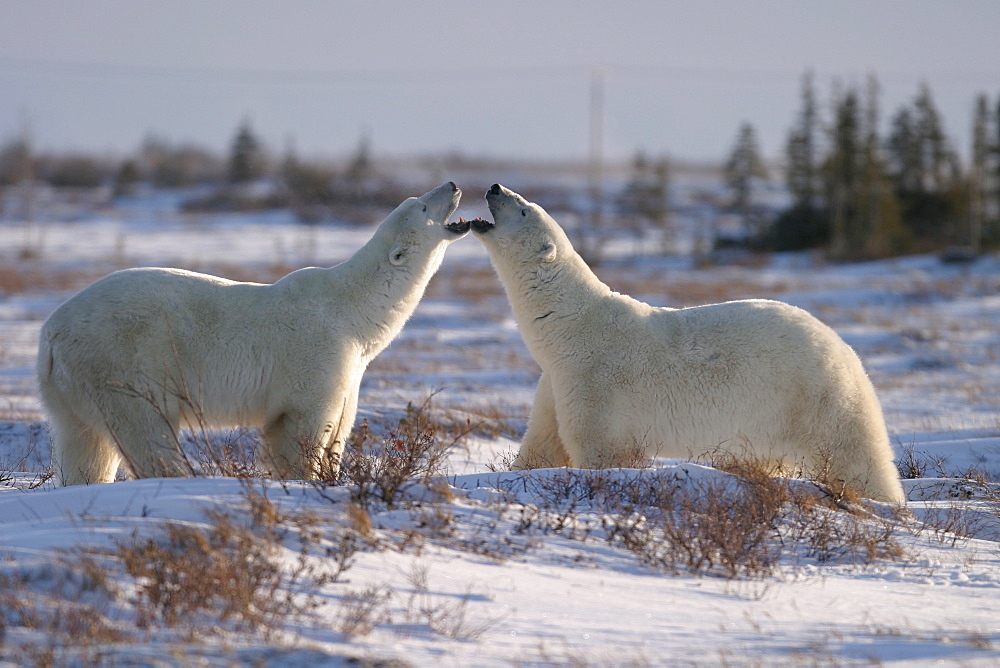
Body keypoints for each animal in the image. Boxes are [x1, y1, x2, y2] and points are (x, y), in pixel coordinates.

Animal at [35, 183, 464, 486]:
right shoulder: (317, 354)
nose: (453, 184)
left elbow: (338, 429)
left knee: (83, 443)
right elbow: (301, 428)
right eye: (422, 206)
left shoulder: (351, 368)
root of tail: (51, 333)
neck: (353, 310)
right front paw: (305, 478)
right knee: (146, 432)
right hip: (123, 363)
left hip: (70, 387)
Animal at [470, 183, 908, 500]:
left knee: (855, 455)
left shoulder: (597, 381)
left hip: (813, 396)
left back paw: (883, 503)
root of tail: (843, 346)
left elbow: (600, 449)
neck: (571, 330)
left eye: (524, 209)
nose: (494, 187)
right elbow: (543, 442)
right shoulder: (555, 384)